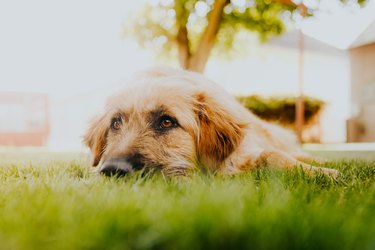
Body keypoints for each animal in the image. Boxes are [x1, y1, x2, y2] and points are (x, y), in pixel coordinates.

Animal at [83, 66, 340, 178]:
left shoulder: (246, 150)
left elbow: (273, 155)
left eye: (166, 122)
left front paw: (322, 172)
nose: (113, 170)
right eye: (116, 123)